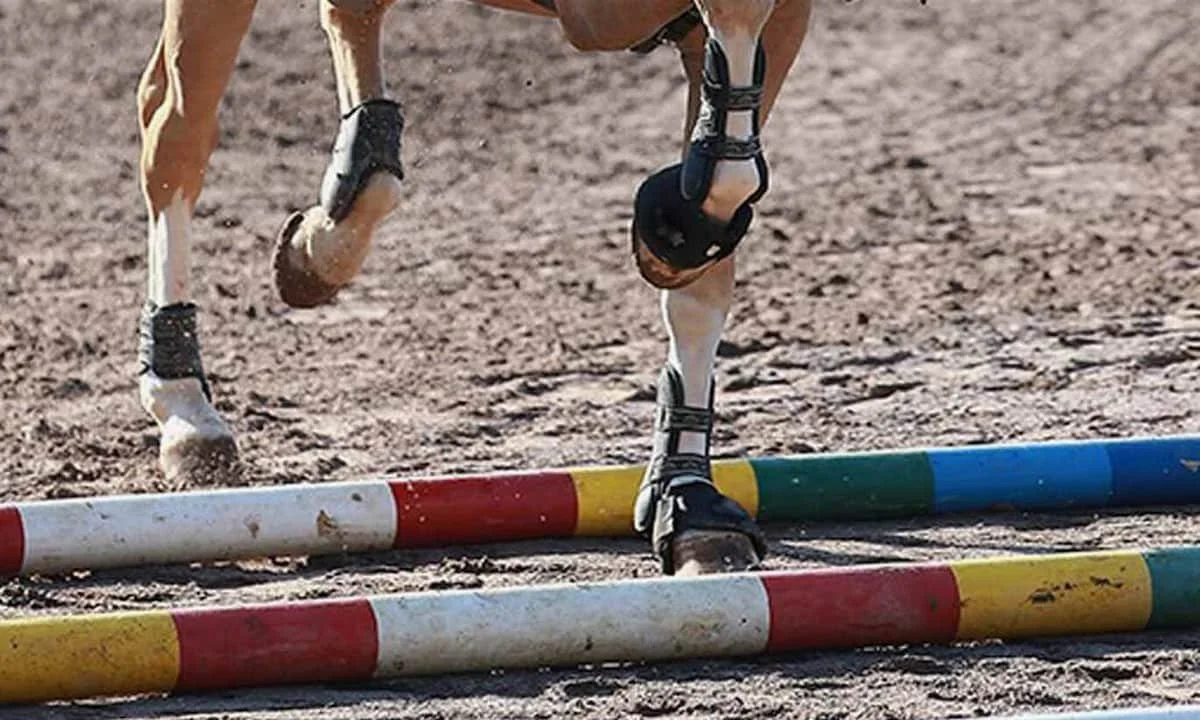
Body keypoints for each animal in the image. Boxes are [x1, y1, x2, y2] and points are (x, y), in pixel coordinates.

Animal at [135, 0, 812, 576]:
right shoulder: (597, 16)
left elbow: (718, 210)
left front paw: (688, 500)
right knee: (174, 131)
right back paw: (186, 409)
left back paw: (325, 241)